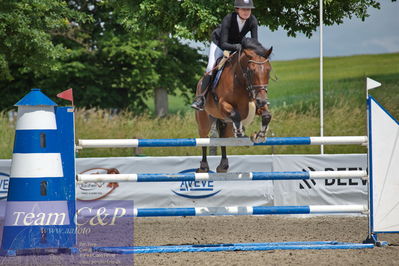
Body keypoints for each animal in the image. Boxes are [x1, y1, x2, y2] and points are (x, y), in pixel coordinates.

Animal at [195, 38, 274, 174]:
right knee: (203, 139)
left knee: (223, 138)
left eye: (268, 70)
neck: (241, 81)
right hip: (204, 121)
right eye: (251, 70)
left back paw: (223, 165)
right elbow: (235, 114)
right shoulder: (223, 105)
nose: (262, 100)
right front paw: (240, 134)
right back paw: (204, 166)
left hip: (225, 124)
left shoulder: (256, 104)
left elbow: (267, 115)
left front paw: (259, 135)